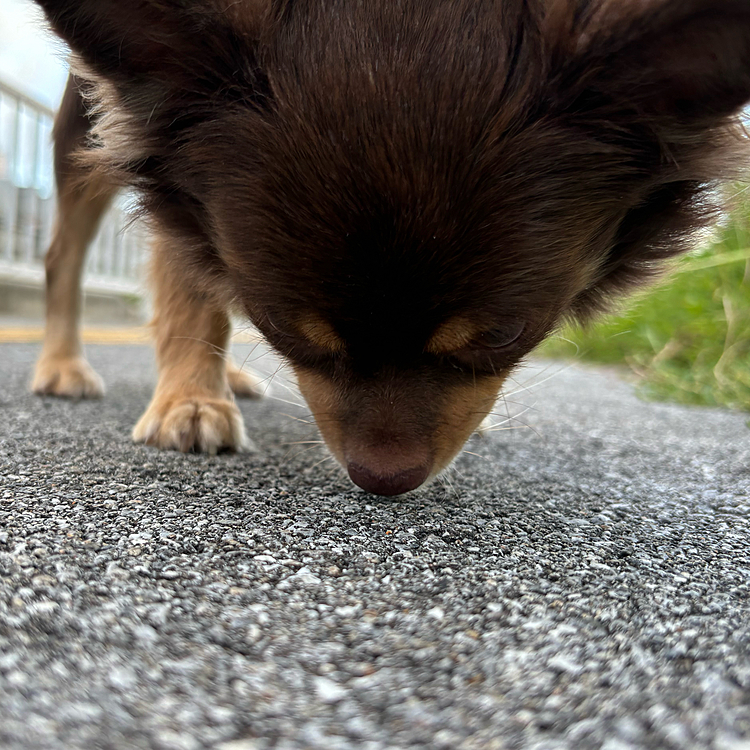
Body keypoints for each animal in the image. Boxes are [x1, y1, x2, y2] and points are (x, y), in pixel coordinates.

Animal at [32, 1, 750, 500]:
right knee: (63, 258)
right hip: (86, 139)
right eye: (283, 332)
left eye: (503, 337)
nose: (384, 479)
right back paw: (65, 365)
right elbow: (191, 294)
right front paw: (190, 399)